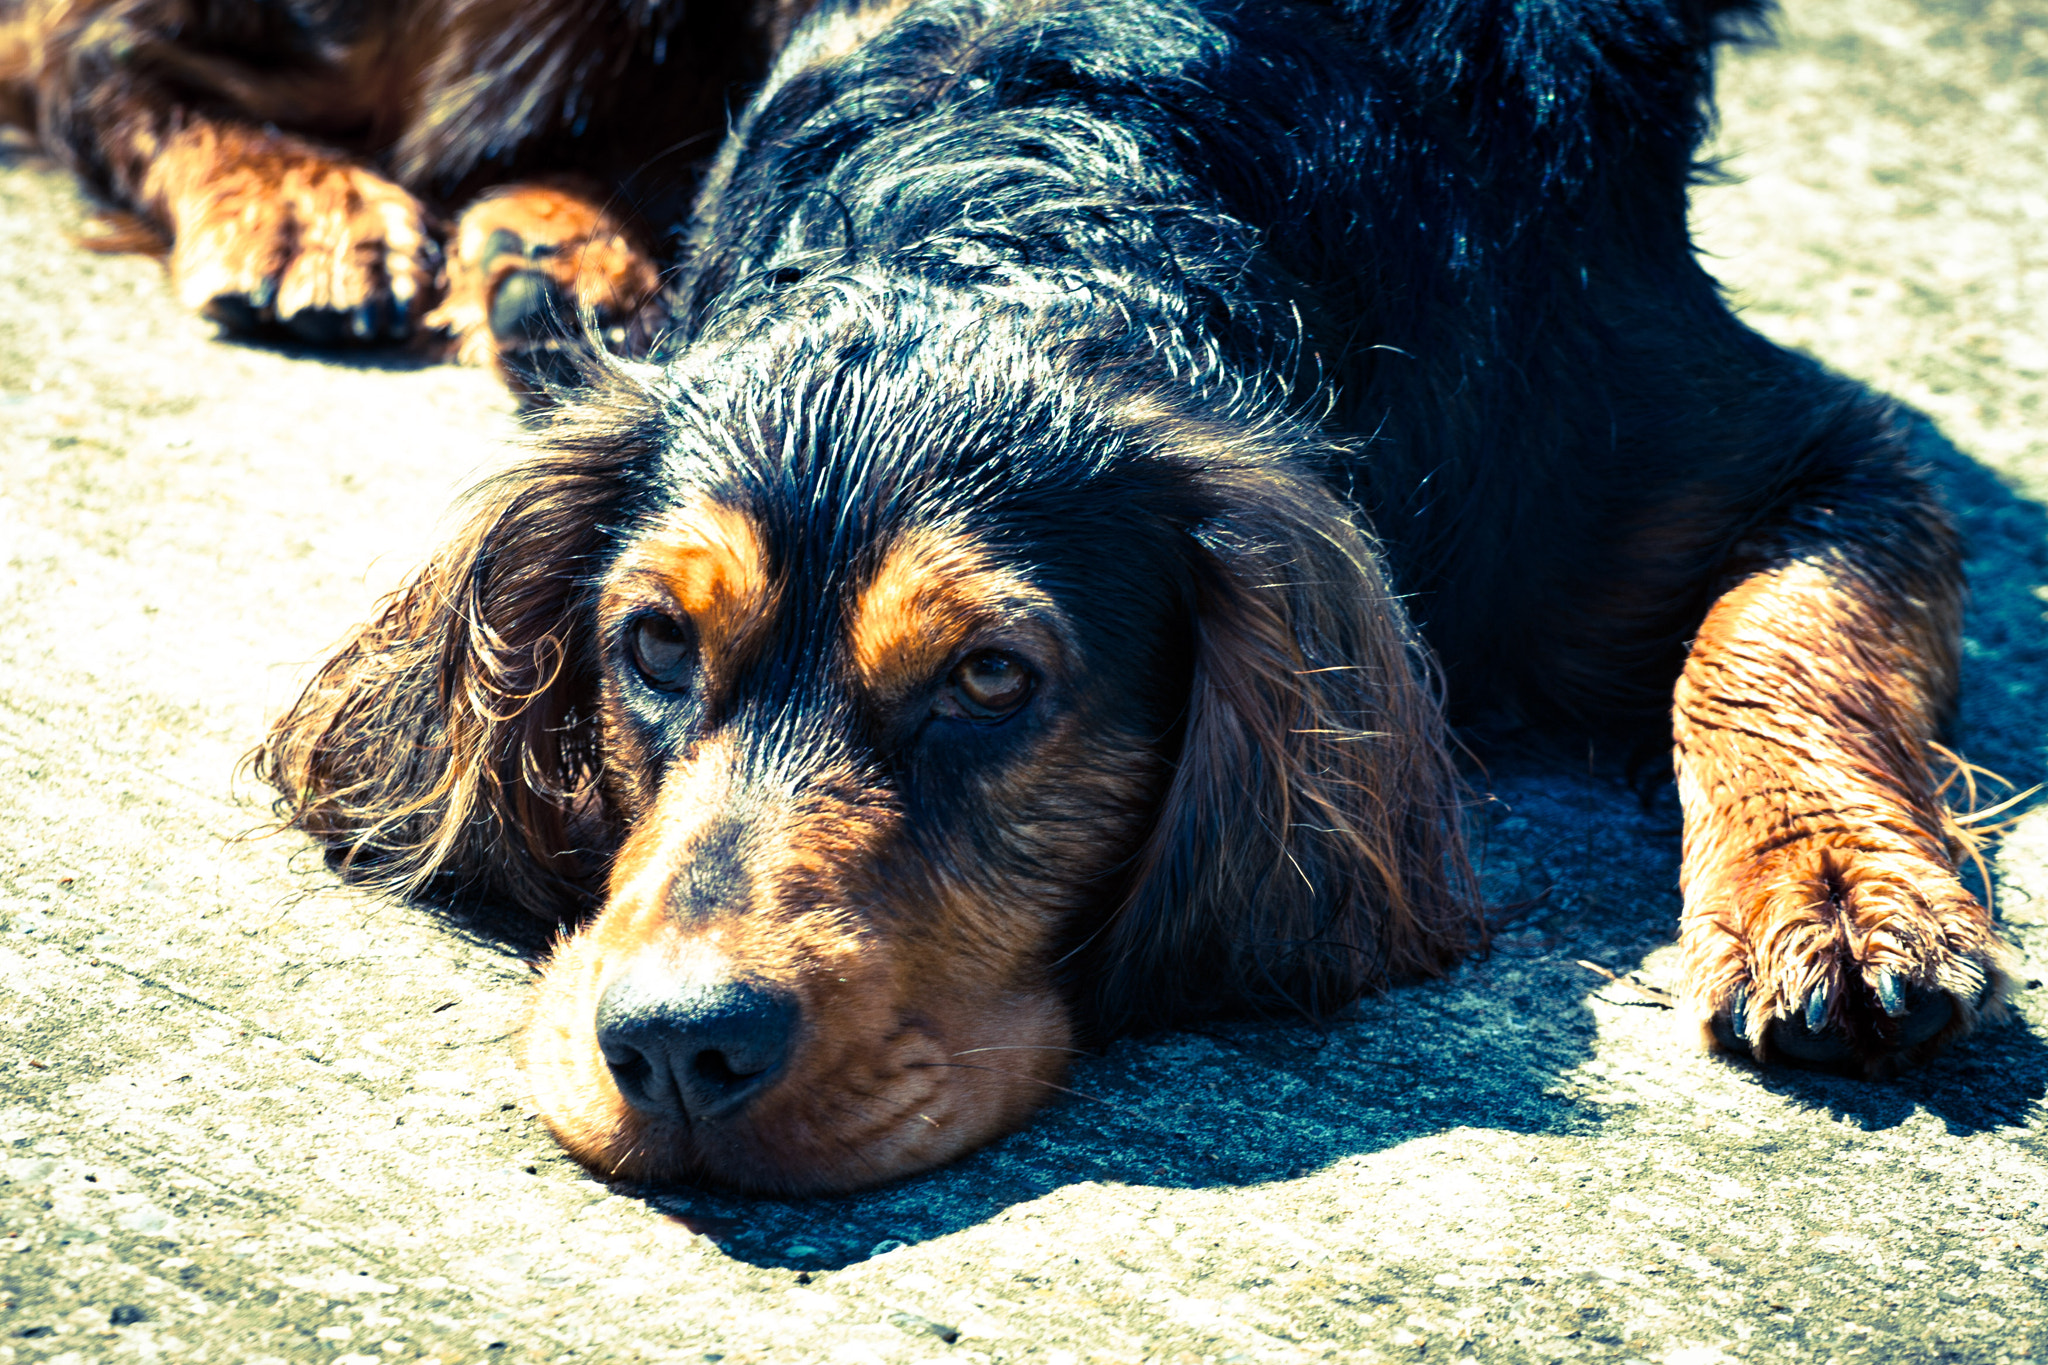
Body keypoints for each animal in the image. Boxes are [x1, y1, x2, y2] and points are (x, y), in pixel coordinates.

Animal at [251, 0, 2015, 1195]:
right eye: (656, 646)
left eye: (991, 681)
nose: (679, 1047)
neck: (1041, 199)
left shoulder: (1783, 444)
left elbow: (1766, 637)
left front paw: (1833, 892)